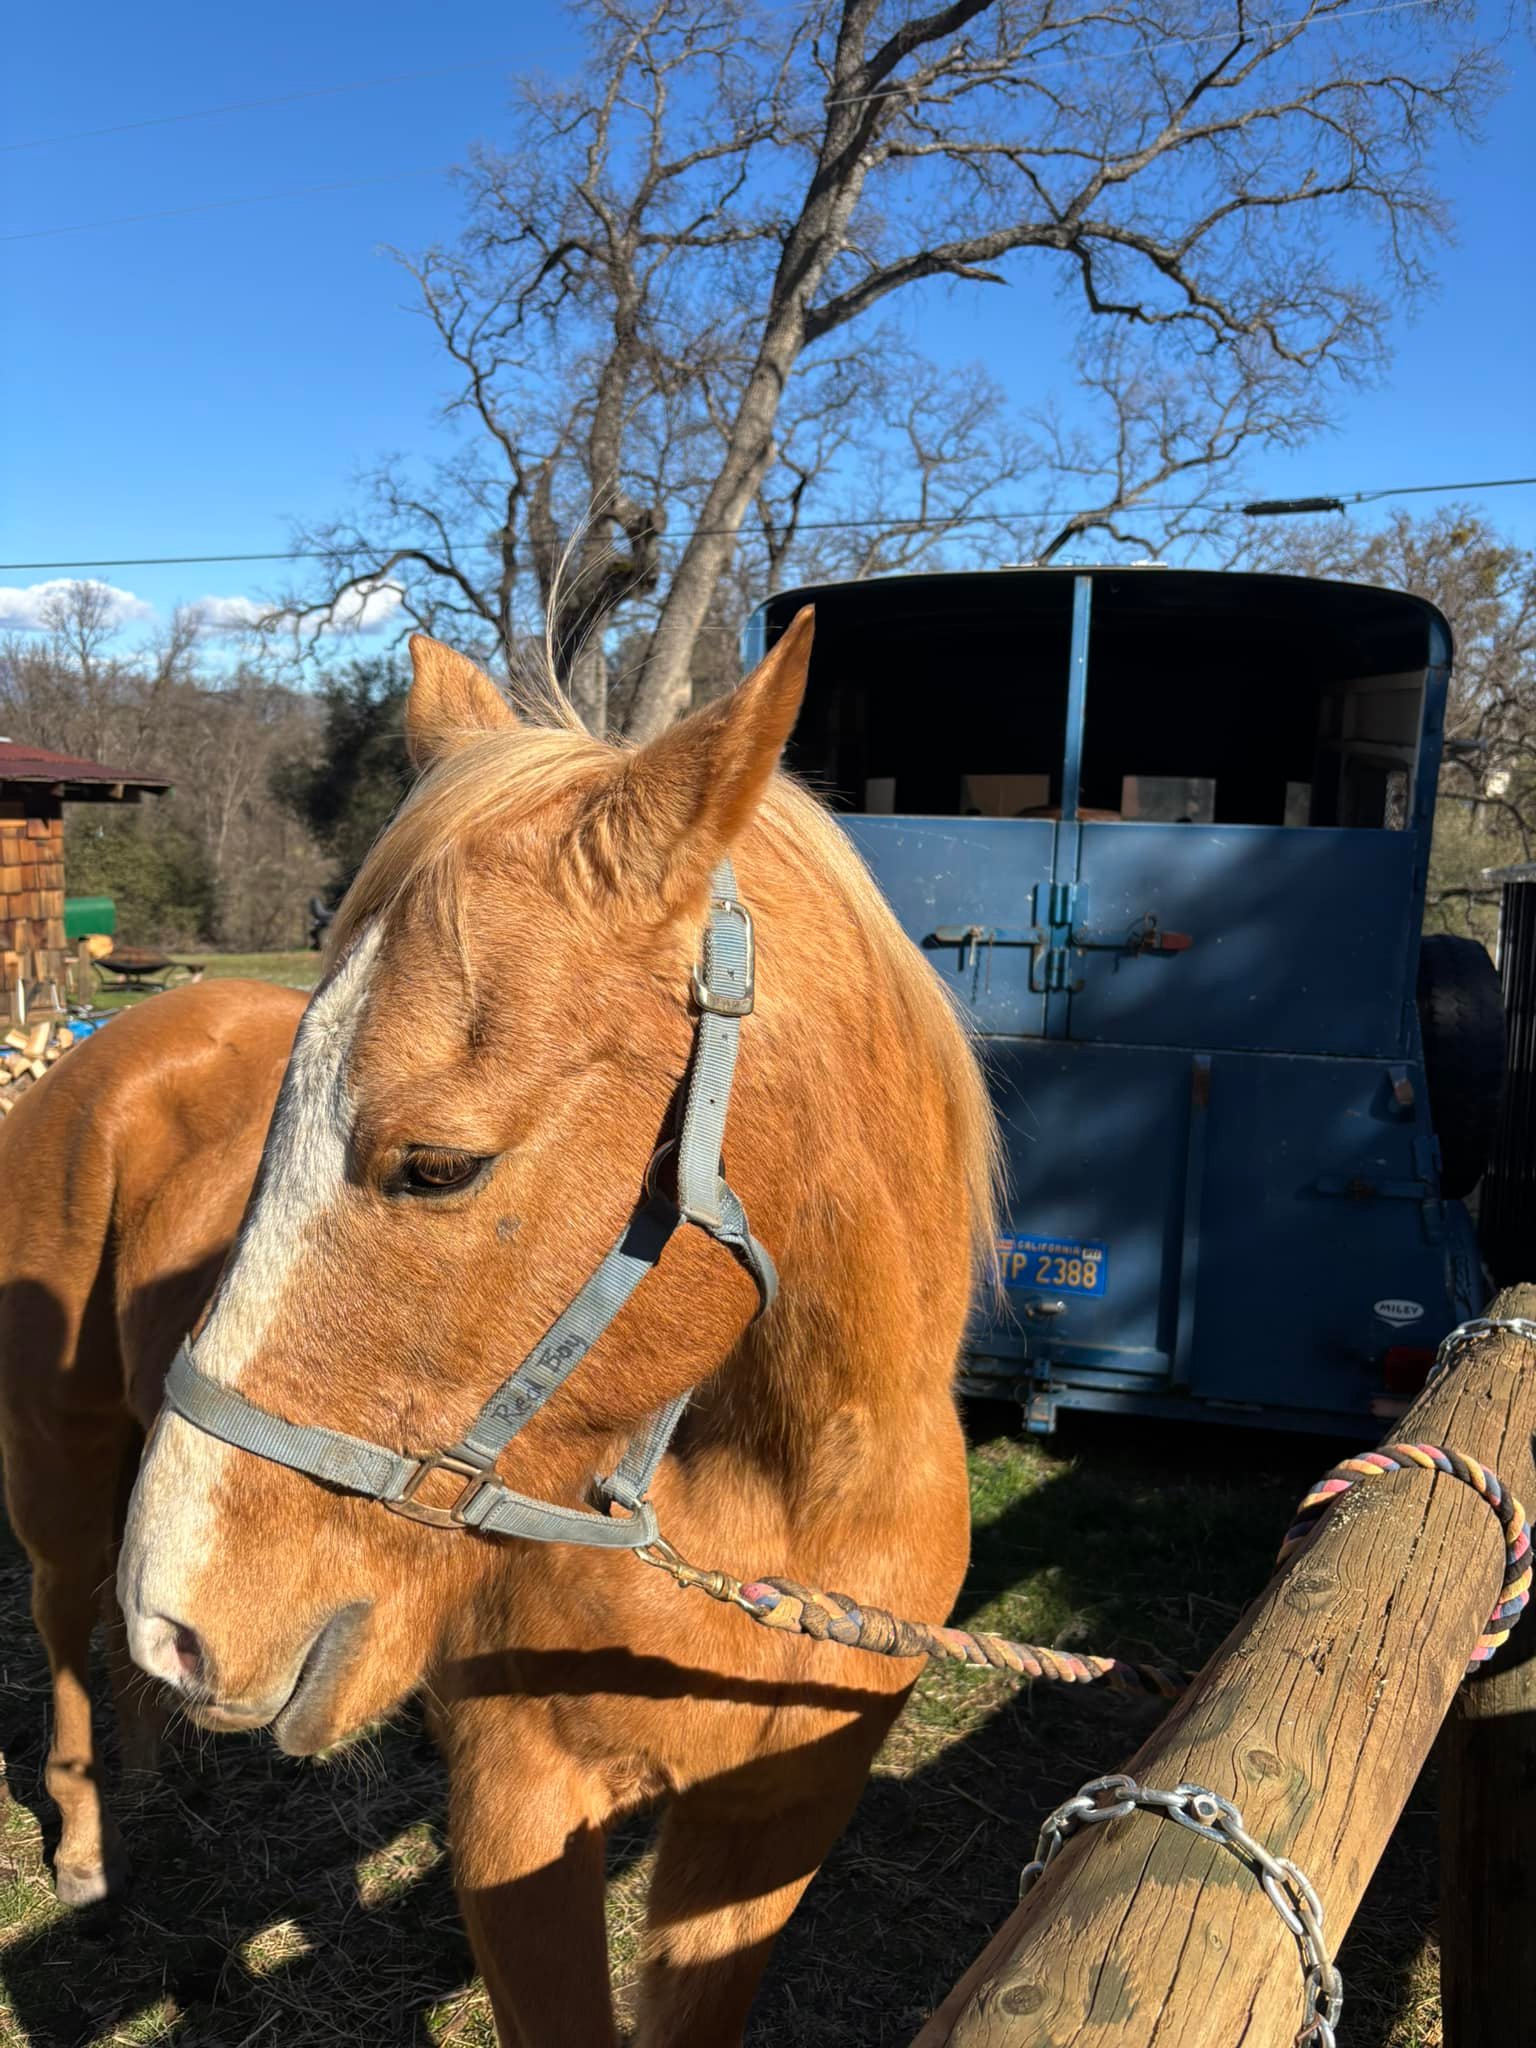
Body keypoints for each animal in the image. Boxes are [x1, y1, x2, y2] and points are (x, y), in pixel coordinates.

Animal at [8, 612, 998, 2043]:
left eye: (436, 1166)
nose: (180, 1623)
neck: (780, 1510)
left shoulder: (774, 1827)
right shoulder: (520, 1809)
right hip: (60, 1466)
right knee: (62, 1623)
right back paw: (90, 1840)